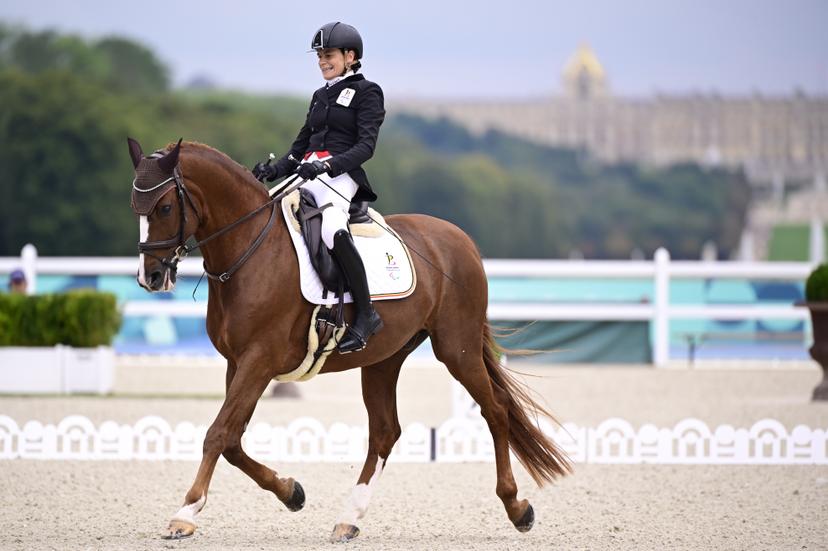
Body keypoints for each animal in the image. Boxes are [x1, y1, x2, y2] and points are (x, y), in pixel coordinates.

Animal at [128, 138, 572, 542]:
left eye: (164, 207)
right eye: (136, 208)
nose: (150, 277)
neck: (250, 249)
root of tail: (459, 239)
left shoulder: (258, 360)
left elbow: (218, 433)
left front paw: (185, 513)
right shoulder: (237, 363)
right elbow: (233, 440)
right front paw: (291, 492)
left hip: (456, 349)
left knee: (495, 410)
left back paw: (517, 507)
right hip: (384, 358)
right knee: (385, 432)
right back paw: (349, 518)